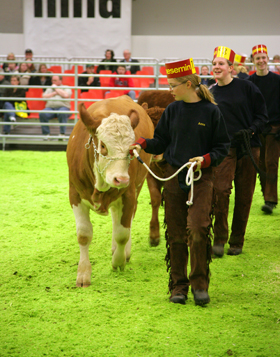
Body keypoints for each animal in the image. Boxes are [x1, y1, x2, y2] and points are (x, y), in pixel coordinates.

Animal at [66, 95, 154, 286]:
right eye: (103, 146)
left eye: (131, 148)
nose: (121, 179)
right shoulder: (74, 194)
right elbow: (83, 234)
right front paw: (83, 273)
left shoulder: (129, 194)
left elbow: (122, 233)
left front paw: (118, 262)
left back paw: (122, 251)